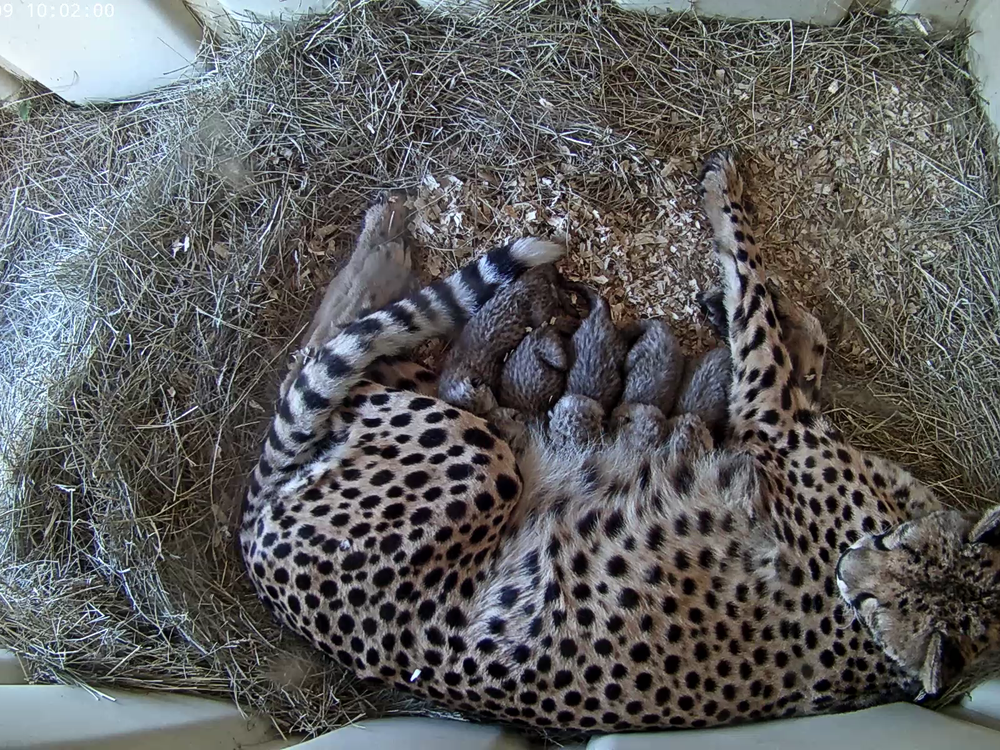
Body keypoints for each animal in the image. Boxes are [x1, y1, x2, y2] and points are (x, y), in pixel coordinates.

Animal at [240, 153, 1000, 736]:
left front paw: (725, 207)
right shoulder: (778, 415)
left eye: (883, 602)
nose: (851, 569)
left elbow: (755, 294)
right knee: (332, 350)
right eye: (898, 561)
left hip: (470, 446)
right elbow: (782, 328)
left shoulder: (769, 414)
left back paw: (387, 244)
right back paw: (388, 236)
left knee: (338, 354)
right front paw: (751, 278)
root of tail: (255, 542)